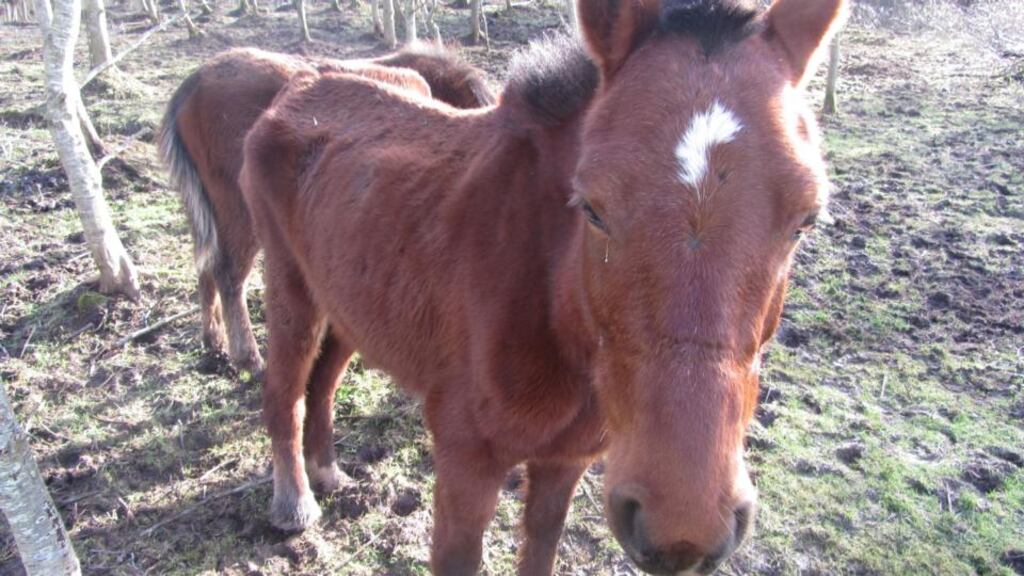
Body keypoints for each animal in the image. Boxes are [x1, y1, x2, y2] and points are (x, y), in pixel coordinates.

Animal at [158, 45, 494, 374]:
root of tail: (192, 85)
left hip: (207, 212)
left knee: (206, 268)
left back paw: (214, 347)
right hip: (238, 211)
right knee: (229, 274)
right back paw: (250, 359)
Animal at [241, 0, 846, 573]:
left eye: (806, 220)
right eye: (593, 208)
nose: (684, 526)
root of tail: (300, 86)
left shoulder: (566, 462)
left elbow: (541, 546)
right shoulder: (465, 464)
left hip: (346, 299)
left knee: (322, 382)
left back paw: (326, 472)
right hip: (292, 289)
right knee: (285, 392)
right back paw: (294, 503)